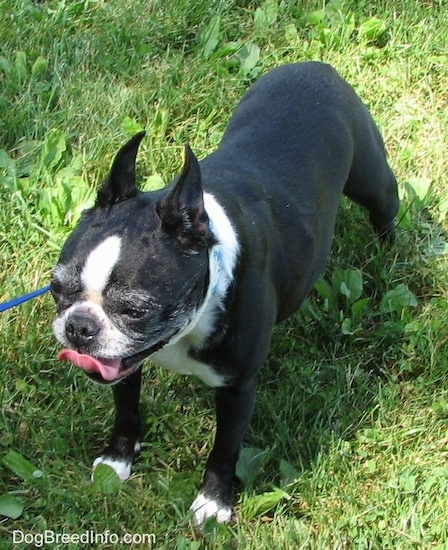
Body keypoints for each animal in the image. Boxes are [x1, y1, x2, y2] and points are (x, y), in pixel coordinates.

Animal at [50, 62, 398, 528]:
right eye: (57, 287)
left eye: (136, 310)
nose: (79, 327)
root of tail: (314, 66)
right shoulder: (123, 364)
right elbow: (126, 410)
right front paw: (117, 459)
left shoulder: (237, 389)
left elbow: (224, 449)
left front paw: (214, 503)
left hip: (369, 175)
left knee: (385, 202)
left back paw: (390, 250)